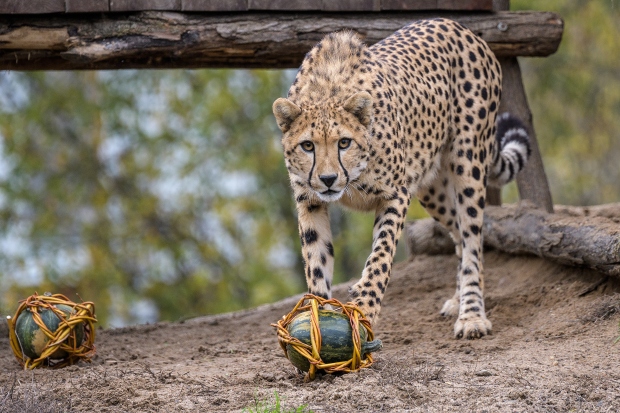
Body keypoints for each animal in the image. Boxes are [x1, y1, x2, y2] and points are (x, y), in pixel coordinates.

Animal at [274, 18, 532, 338]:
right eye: (308, 146)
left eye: (344, 143)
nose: (329, 179)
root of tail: (457, 25)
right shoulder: (309, 202)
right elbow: (317, 262)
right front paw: (317, 321)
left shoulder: (395, 194)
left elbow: (381, 255)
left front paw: (365, 306)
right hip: (431, 187)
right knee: (458, 231)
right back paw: (458, 299)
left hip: (468, 160)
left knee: (472, 235)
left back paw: (471, 314)